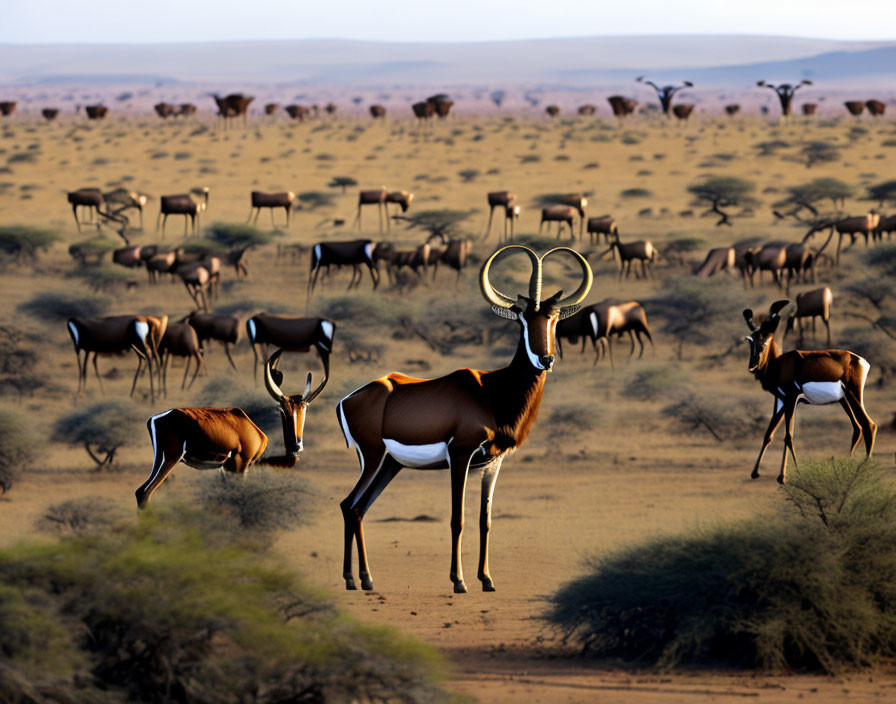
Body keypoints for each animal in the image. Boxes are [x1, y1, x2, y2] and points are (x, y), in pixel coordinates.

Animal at [135, 350, 328, 506]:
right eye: (283, 408)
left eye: (304, 407)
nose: (297, 445)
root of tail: (154, 418)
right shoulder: (241, 465)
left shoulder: (225, 468)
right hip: (170, 458)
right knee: (144, 492)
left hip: (161, 459)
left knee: (140, 491)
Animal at [332, 245, 592, 592]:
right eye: (523, 318)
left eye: (553, 318)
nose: (545, 359)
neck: (494, 391)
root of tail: (348, 399)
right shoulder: (460, 455)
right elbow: (458, 518)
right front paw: (459, 581)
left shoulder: (493, 463)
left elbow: (486, 520)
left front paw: (487, 579)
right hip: (373, 459)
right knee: (349, 505)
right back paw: (352, 579)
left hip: (389, 466)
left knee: (359, 509)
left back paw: (365, 579)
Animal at [744, 296, 876, 484]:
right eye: (751, 340)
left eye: (766, 340)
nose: (753, 365)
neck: (779, 365)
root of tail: (860, 360)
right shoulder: (781, 400)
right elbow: (769, 434)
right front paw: (755, 473)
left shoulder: (791, 399)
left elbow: (788, 436)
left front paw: (786, 476)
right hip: (845, 400)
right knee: (858, 428)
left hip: (854, 395)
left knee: (868, 425)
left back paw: (862, 472)